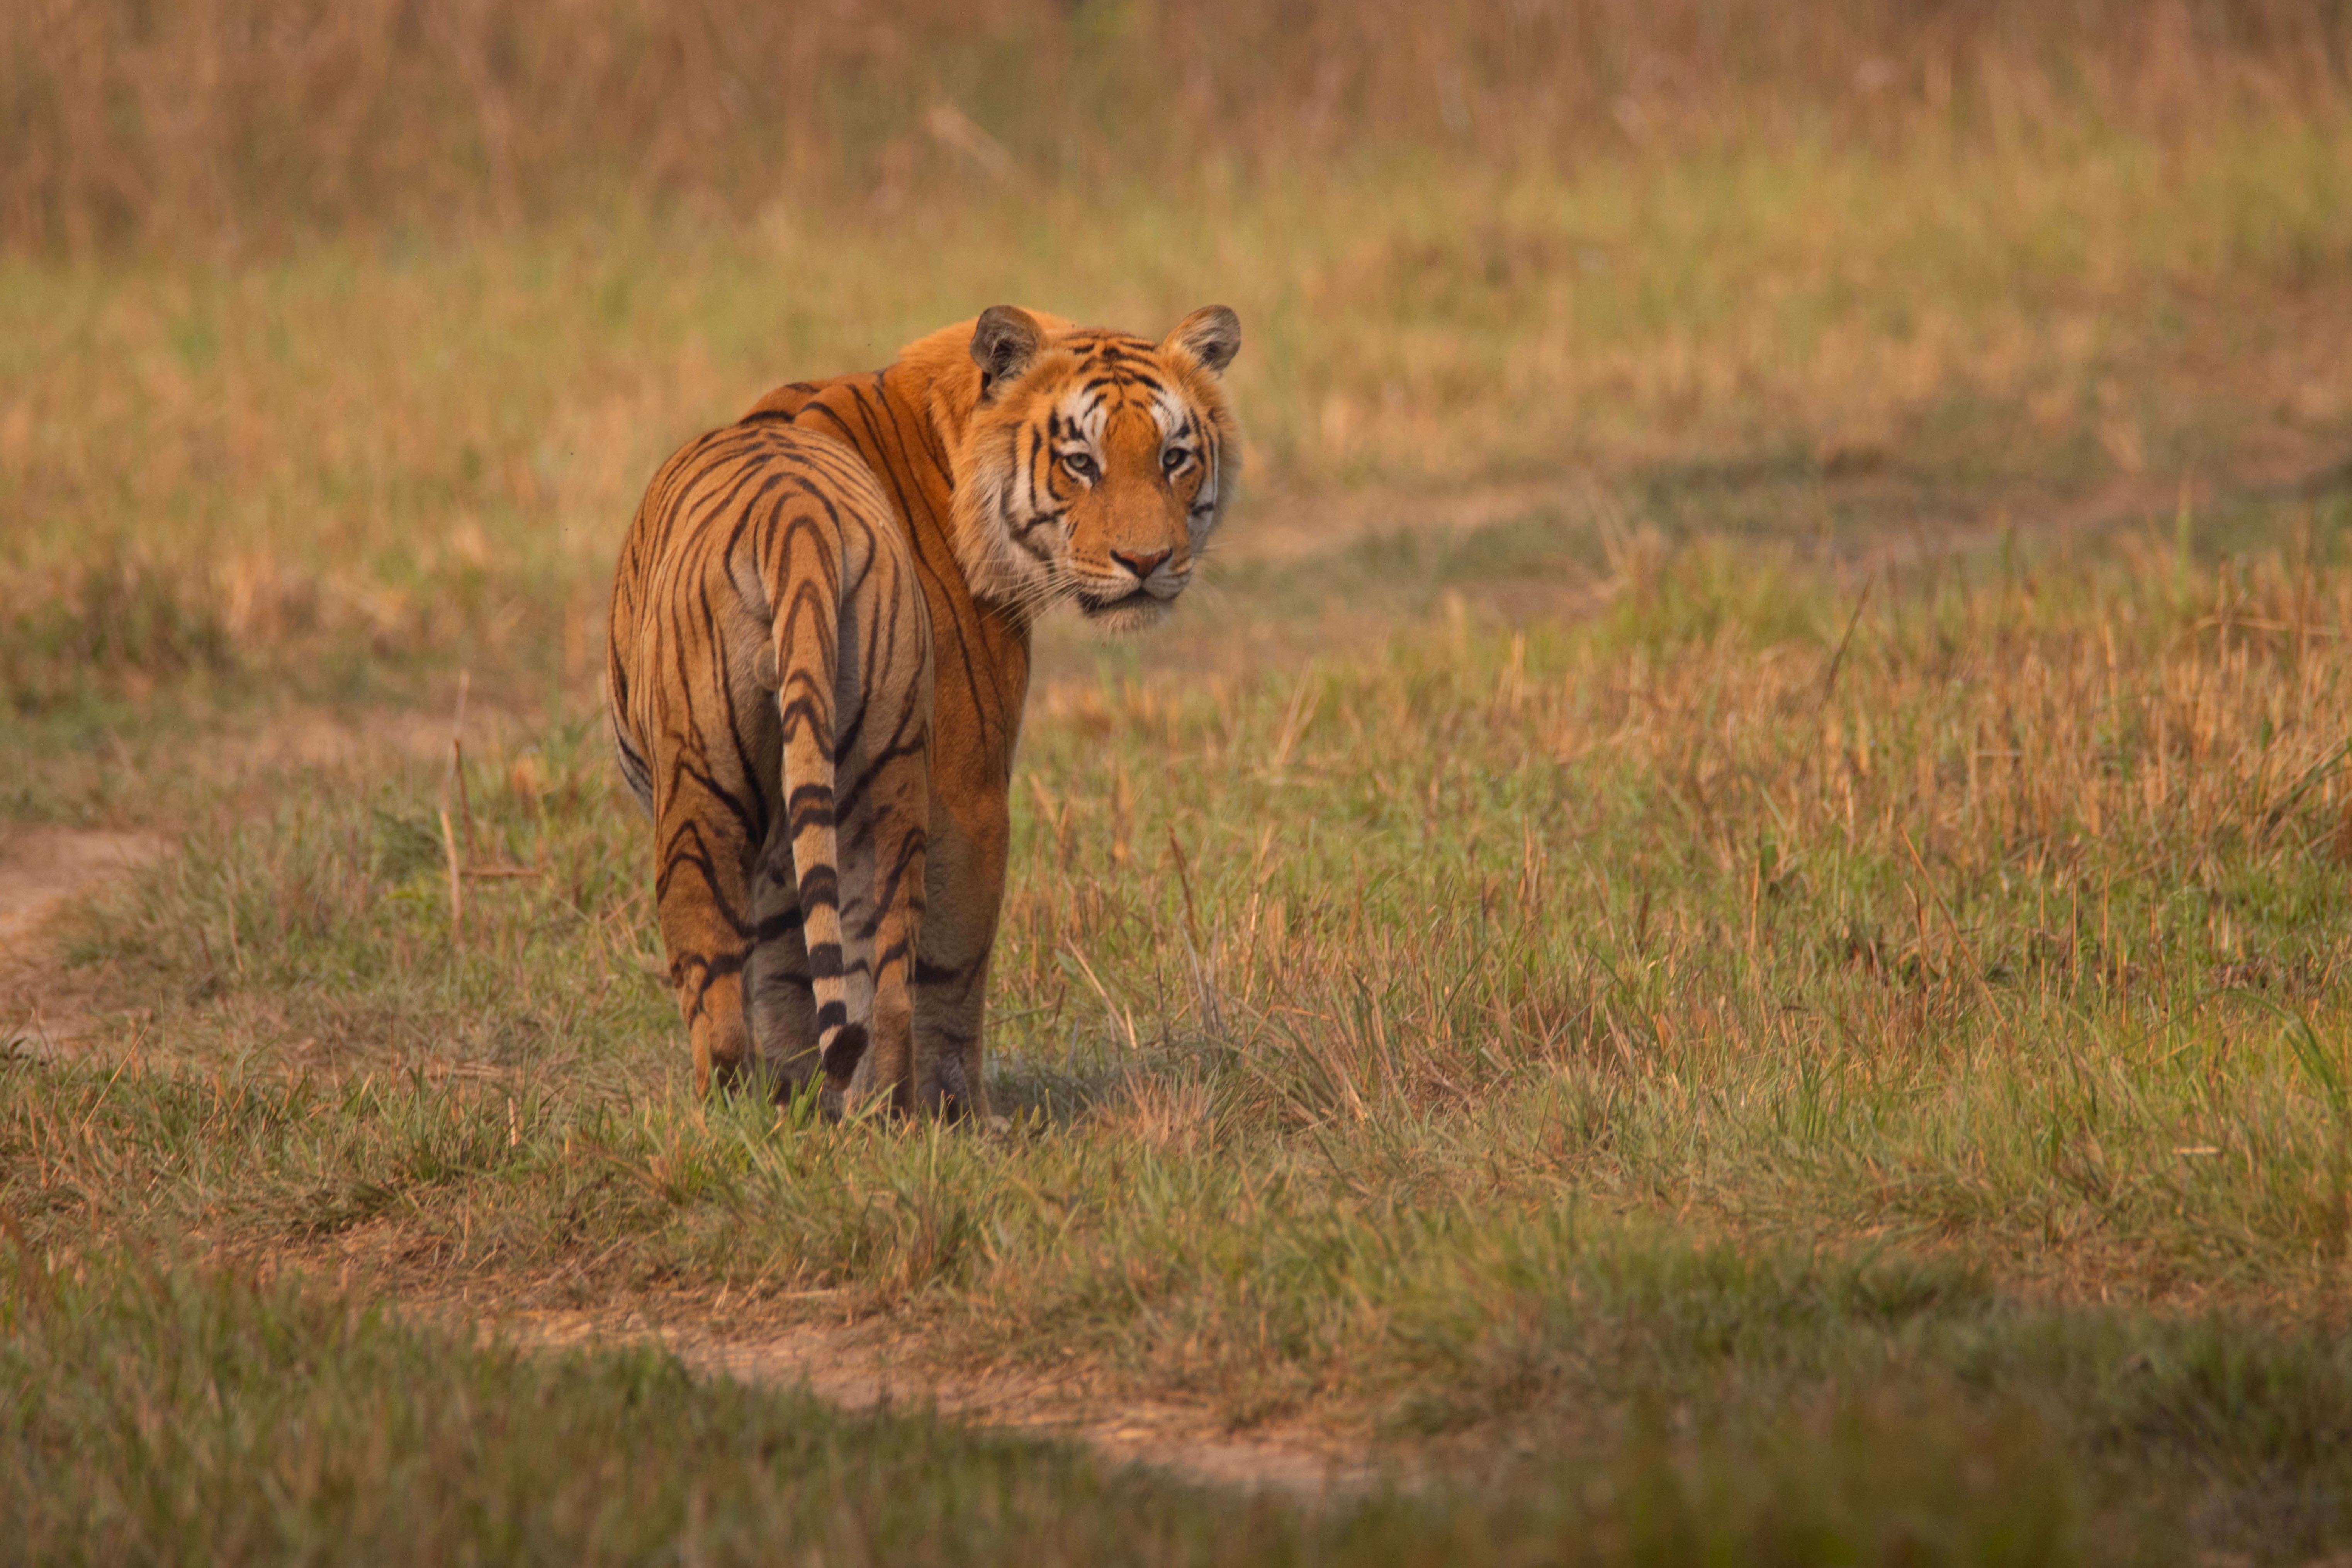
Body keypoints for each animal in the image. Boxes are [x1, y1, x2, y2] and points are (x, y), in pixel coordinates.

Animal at [607, 303, 1242, 1116]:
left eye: (1173, 457)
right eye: (1079, 463)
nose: (1146, 563)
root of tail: (795, 522)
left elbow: (784, 972)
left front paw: (799, 1100)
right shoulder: (972, 785)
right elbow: (952, 970)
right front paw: (960, 1112)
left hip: (709, 790)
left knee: (731, 981)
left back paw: (754, 1115)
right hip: (886, 789)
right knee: (892, 989)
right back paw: (906, 1116)